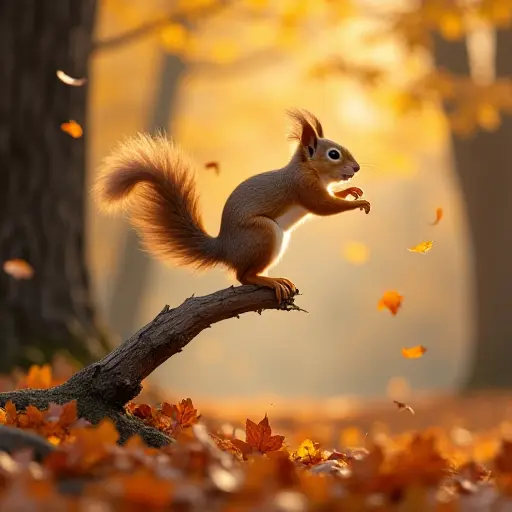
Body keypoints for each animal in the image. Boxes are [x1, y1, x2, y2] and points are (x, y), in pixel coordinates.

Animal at [92, 108, 370, 300]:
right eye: (333, 154)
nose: (357, 168)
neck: (310, 170)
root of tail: (224, 247)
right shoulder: (304, 187)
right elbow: (324, 207)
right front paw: (360, 203)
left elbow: (333, 198)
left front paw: (352, 191)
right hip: (263, 233)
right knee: (243, 276)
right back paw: (270, 281)